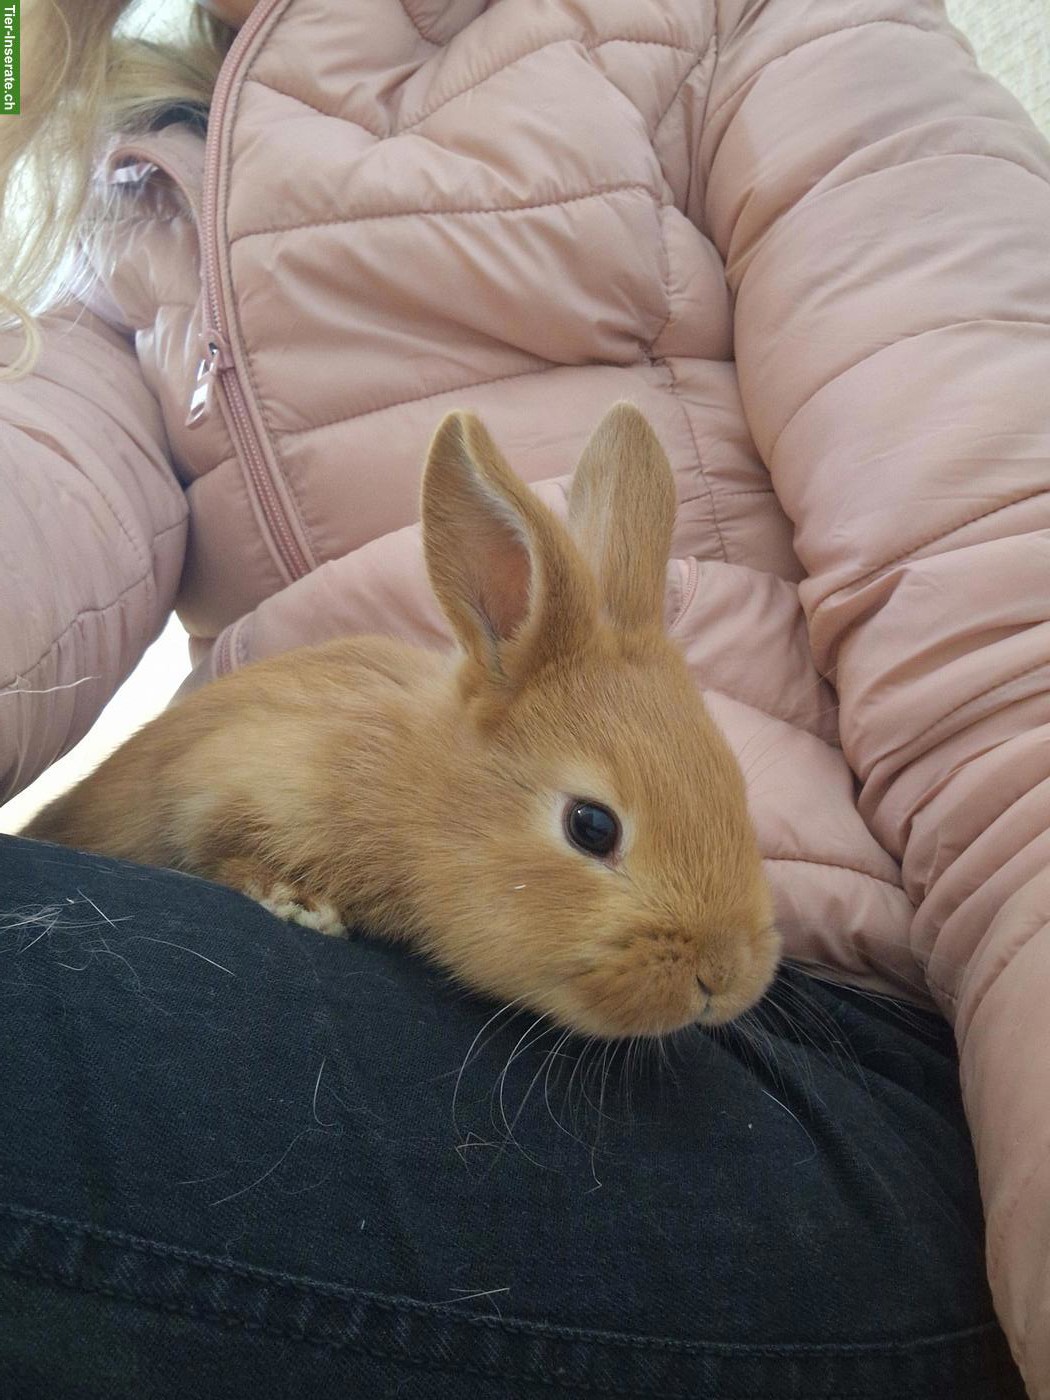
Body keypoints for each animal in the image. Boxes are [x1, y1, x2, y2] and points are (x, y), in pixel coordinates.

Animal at [23, 404, 779, 1039]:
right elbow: (210, 841)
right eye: (592, 827)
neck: (417, 792)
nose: (723, 978)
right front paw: (297, 900)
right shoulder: (224, 779)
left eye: (740, 792)